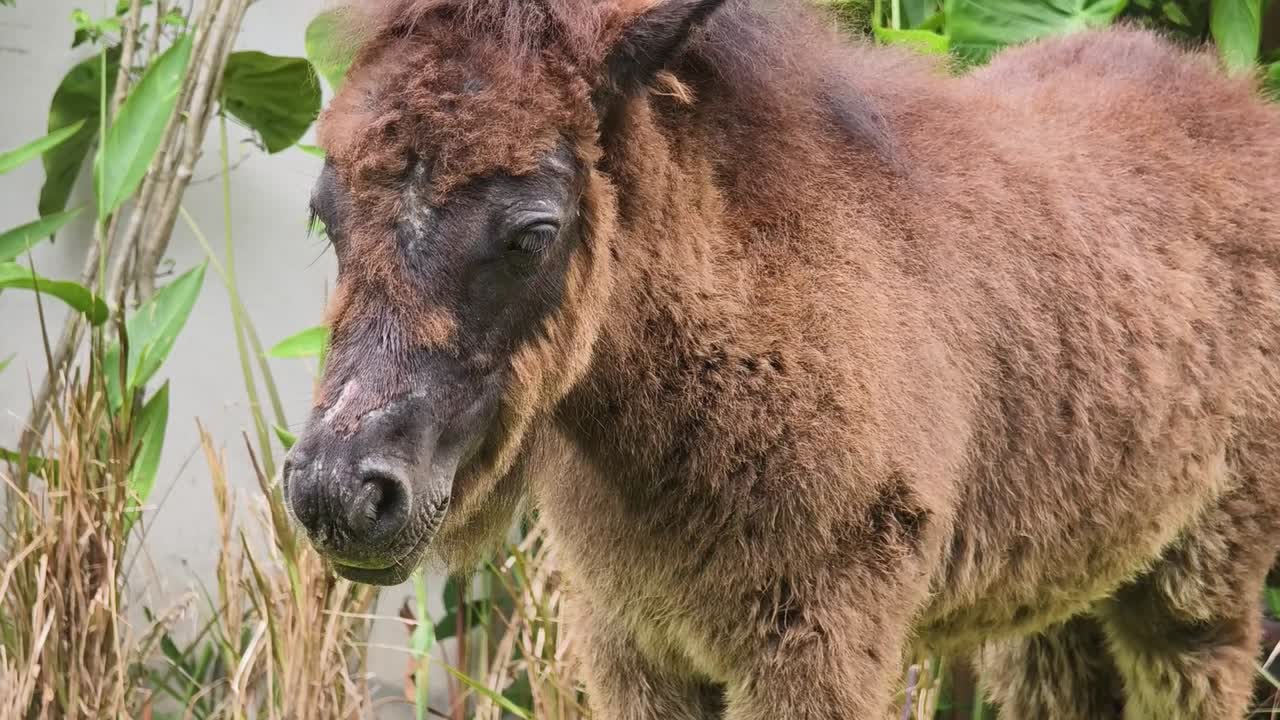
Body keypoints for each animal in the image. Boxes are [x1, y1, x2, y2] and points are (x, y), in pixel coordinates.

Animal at [282, 0, 1280, 716]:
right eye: (325, 214)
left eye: (534, 232)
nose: (340, 494)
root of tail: (1241, 107)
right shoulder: (632, 649)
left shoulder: (816, 652)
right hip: (1057, 601)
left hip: (1198, 597)